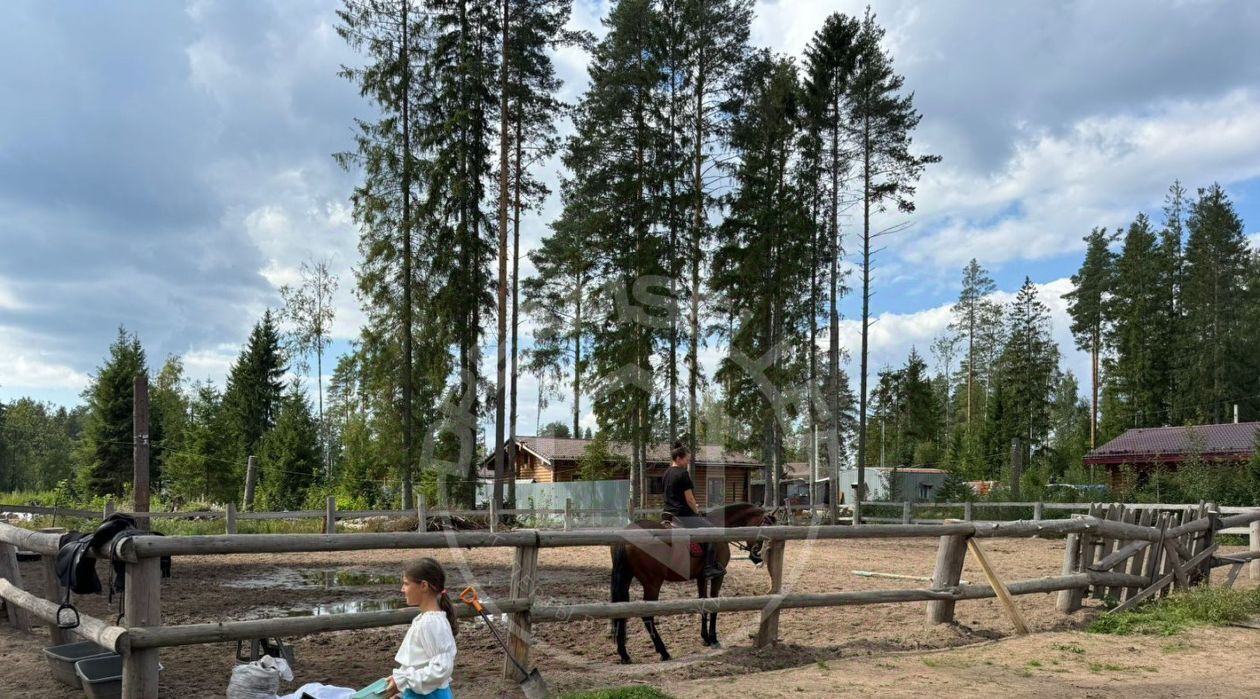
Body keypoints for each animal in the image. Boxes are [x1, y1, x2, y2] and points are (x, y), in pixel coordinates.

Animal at [612, 503, 776, 659]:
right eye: (764, 529)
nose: (757, 558)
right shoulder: (718, 577)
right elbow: (714, 603)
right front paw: (713, 638)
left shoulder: (701, 577)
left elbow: (703, 602)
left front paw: (705, 638)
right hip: (652, 582)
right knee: (647, 616)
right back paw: (663, 652)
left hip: (626, 577)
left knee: (622, 610)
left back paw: (624, 654)